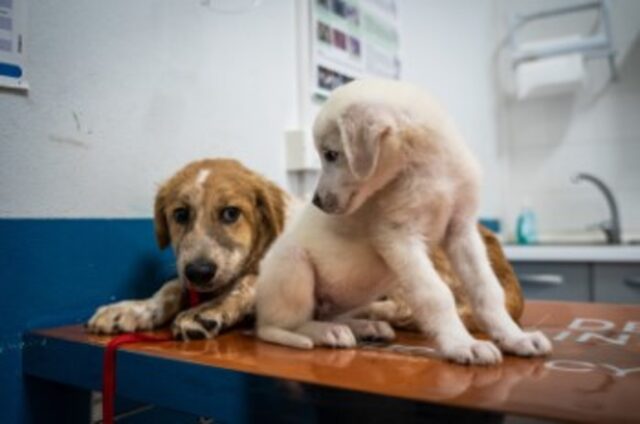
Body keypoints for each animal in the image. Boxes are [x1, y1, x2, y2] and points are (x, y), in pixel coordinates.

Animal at [86, 159, 286, 342]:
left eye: (231, 213)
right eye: (181, 214)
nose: (199, 272)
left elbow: (247, 283)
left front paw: (208, 309)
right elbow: (171, 287)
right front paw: (131, 308)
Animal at [255, 79, 552, 364]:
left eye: (330, 154)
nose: (316, 201)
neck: (431, 170)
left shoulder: (462, 231)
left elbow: (487, 290)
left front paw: (515, 337)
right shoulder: (399, 237)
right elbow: (436, 295)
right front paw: (461, 344)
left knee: (325, 315)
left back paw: (365, 327)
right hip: (294, 265)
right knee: (281, 326)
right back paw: (327, 332)